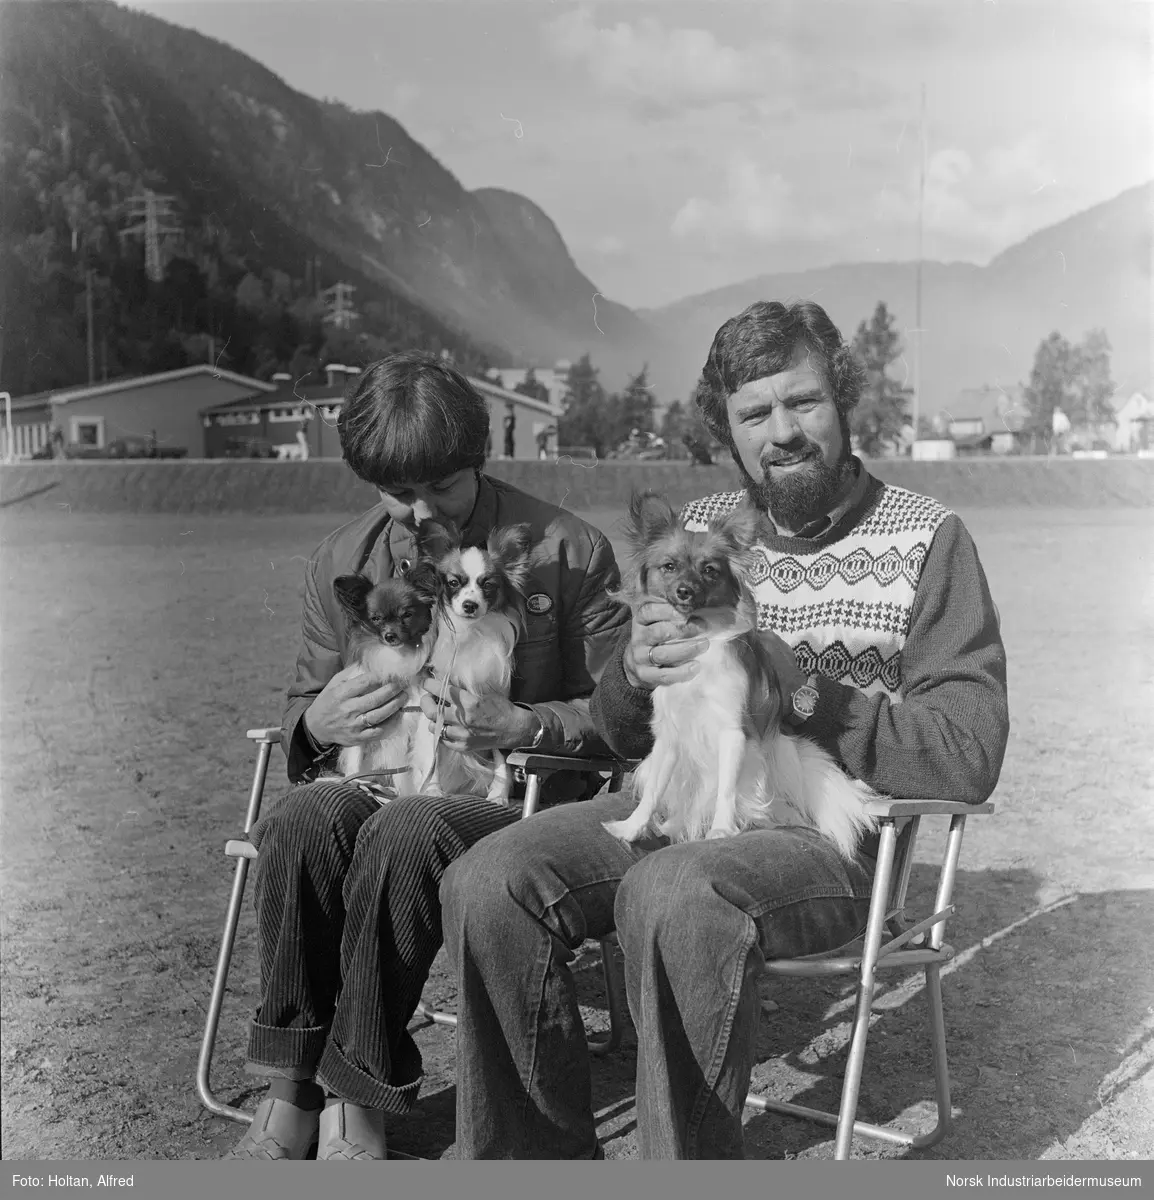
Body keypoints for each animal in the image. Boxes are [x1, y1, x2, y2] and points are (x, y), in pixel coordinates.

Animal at [323, 566, 441, 792]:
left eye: (407, 615)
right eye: (376, 619)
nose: (390, 636)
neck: (397, 654)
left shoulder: (421, 719)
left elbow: (426, 763)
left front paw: (431, 791)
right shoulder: (360, 726)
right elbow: (354, 759)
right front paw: (353, 782)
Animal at [407, 520, 532, 801]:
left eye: (488, 585)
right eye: (454, 582)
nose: (470, 605)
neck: (471, 632)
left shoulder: (496, 703)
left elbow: (501, 758)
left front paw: (499, 794)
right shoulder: (435, 705)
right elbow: (430, 752)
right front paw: (433, 790)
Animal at [597, 492, 878, 859]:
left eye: (710, 570)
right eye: (669, 567)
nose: (685, 591)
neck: (697, 632)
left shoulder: (733, 732)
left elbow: (726, 791)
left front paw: (720, 831)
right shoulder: (670, 738)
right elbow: (654, 792)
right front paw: (632, 828)